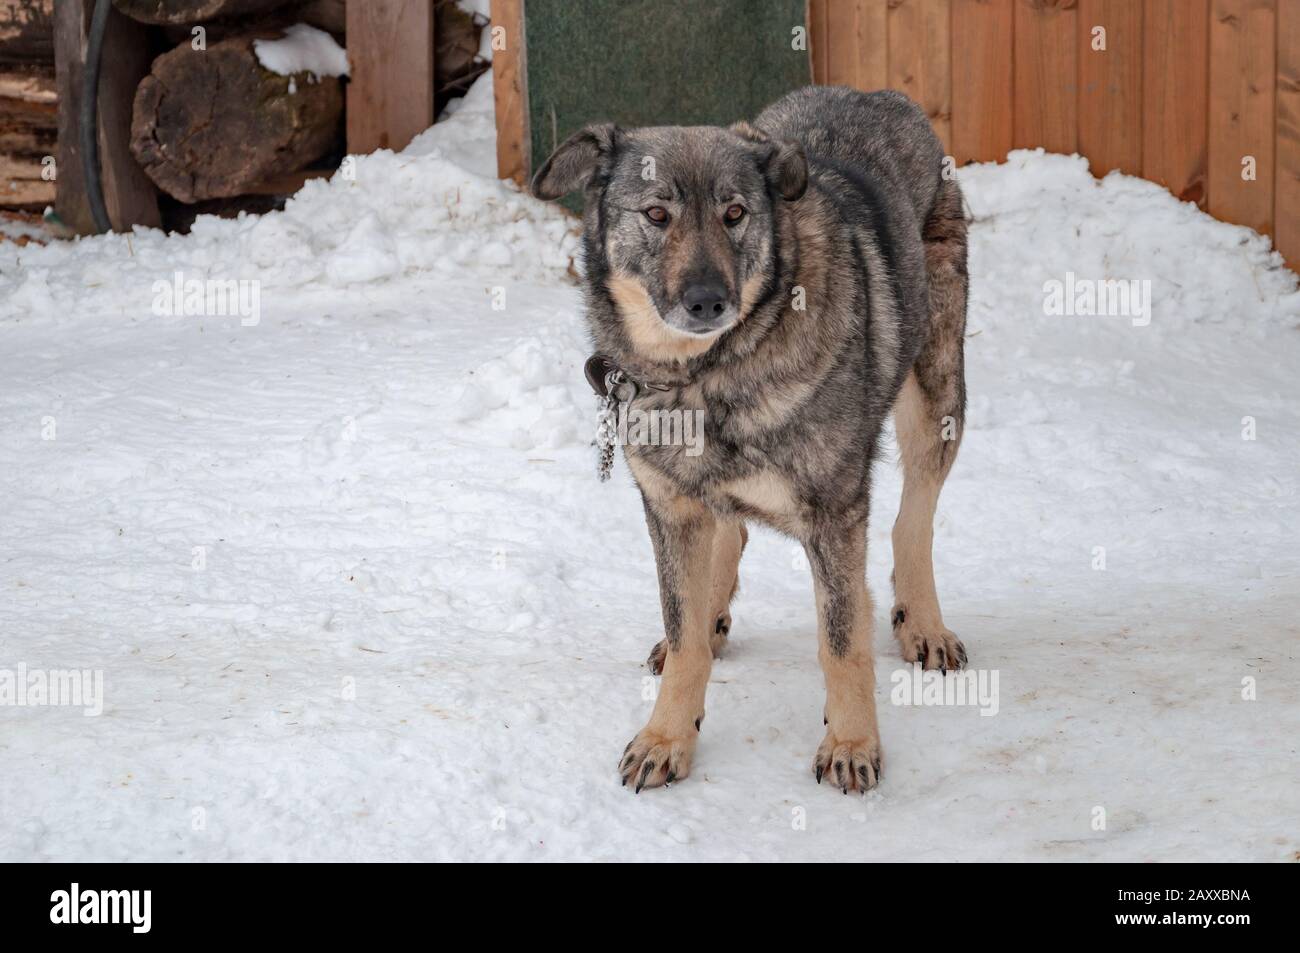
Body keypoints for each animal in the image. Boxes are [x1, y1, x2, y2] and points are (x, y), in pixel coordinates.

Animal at [531, 86, 969, 794]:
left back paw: (923, 624)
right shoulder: (670, 506)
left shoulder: (834, 515)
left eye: (735, 213)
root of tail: (876, 93)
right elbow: (683, 633)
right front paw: (667, 737)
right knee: (728, 536)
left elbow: (842, 641)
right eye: (657, 214)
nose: (708, 301)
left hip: (937, 398)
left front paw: (852, 744)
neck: (706, 373)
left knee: (915, 518)